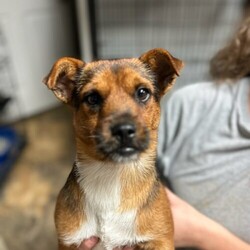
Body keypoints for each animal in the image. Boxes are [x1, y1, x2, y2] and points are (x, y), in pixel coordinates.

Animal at [43, 47, 184, 249]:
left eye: (142, 92)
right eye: (92, 98)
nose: (124, 130)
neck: (113, 174)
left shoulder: (160, 240)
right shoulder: (69, 242)